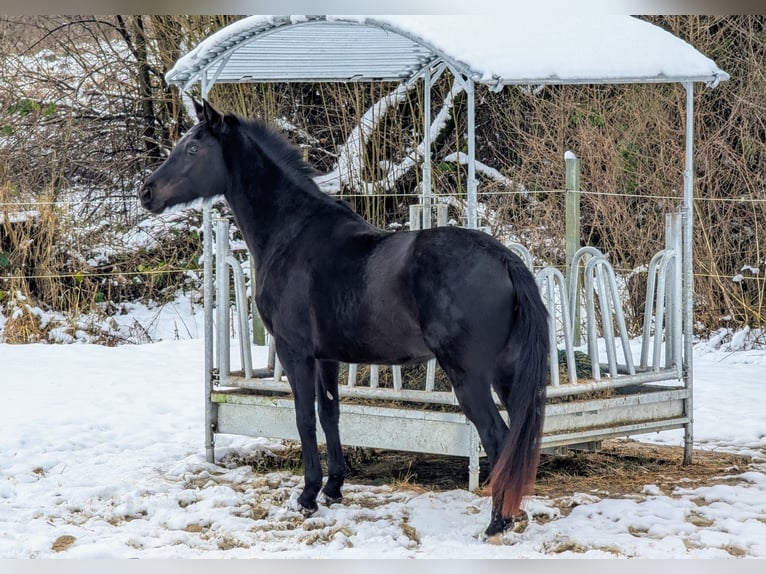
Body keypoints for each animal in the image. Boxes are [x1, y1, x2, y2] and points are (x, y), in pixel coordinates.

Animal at [142, 100, 552, 540]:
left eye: (192, 149)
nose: (146, 192)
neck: (291, 234)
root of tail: (505, 259)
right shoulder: (327, 358)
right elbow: (330, 414)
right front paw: (333, 488)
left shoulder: (295, 353)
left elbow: (304, 418)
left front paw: (307, 495)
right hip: (507, 372)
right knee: (516, 441)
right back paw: (515, 515)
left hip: (469, 376)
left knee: (497, 437)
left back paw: (496, 522)